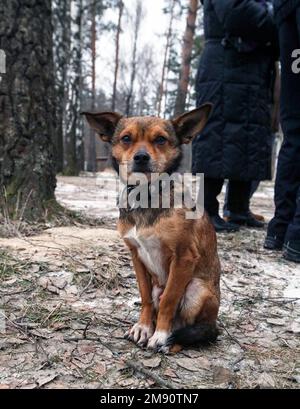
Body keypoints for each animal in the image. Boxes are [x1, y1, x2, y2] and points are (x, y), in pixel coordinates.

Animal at [83, 106, 221, 354]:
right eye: (126, 138)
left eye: (160, 139)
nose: (141, 157)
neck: (145, 195)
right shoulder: (136, 255)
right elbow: (145, 296)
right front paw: (144, 327)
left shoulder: (184, 257)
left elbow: (169, 300)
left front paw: (160, 335)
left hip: (197, 289)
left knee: (197, 329)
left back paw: (172, 340)